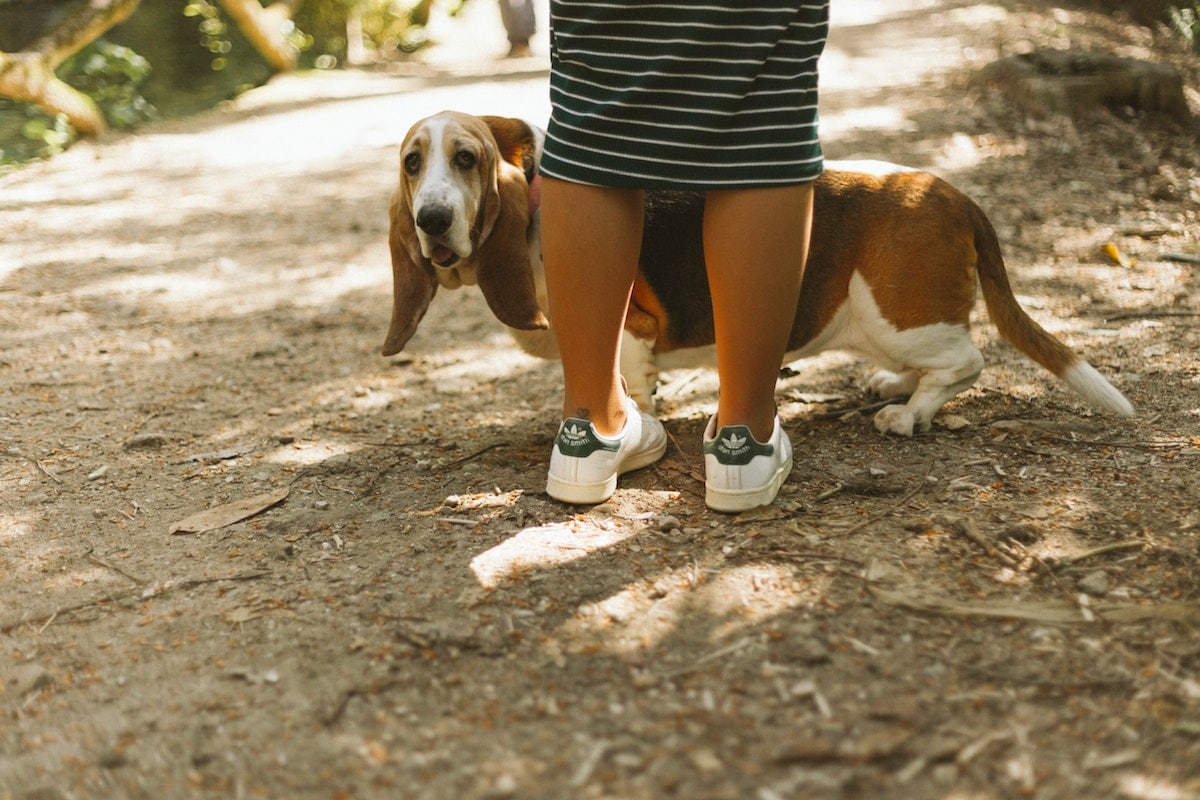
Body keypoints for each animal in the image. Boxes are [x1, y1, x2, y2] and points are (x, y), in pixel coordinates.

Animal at [384, 109, 1132, 434]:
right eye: (412, 163)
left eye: (467, 159)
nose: (431, 220)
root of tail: (951, 193)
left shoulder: (632, 333)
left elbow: (631, 386)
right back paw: (896, 387)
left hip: (894, 314)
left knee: (967, 361)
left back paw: (909, 413)